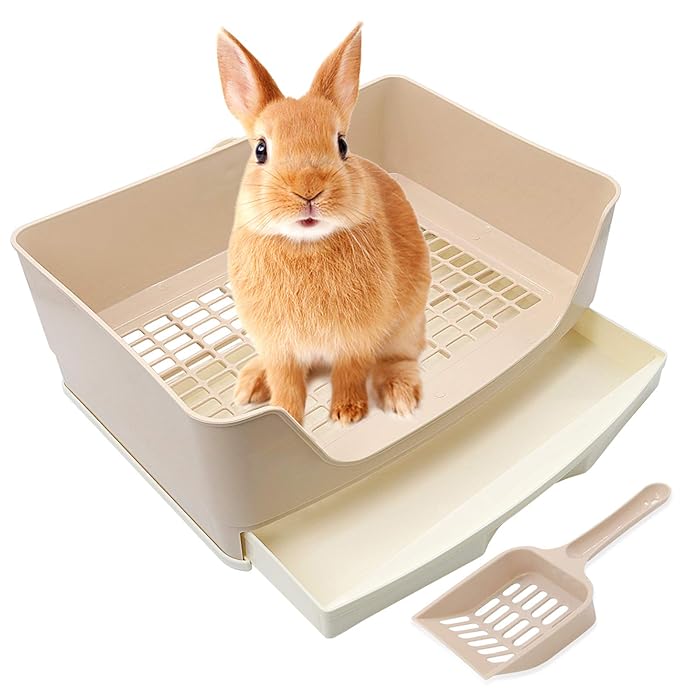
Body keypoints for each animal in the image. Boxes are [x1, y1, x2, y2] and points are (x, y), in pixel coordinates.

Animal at [217, 24, 430, 426]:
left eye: (342, 144)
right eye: (261, 150)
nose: (308, 189)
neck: (306, 244)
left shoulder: (356, 340)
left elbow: (349, 372)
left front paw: (348, 413)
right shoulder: (278, 347)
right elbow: (286, 381)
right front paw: (287, 413)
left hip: (406, 325)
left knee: (400, 356)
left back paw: (399, 394)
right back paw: (251, 383)